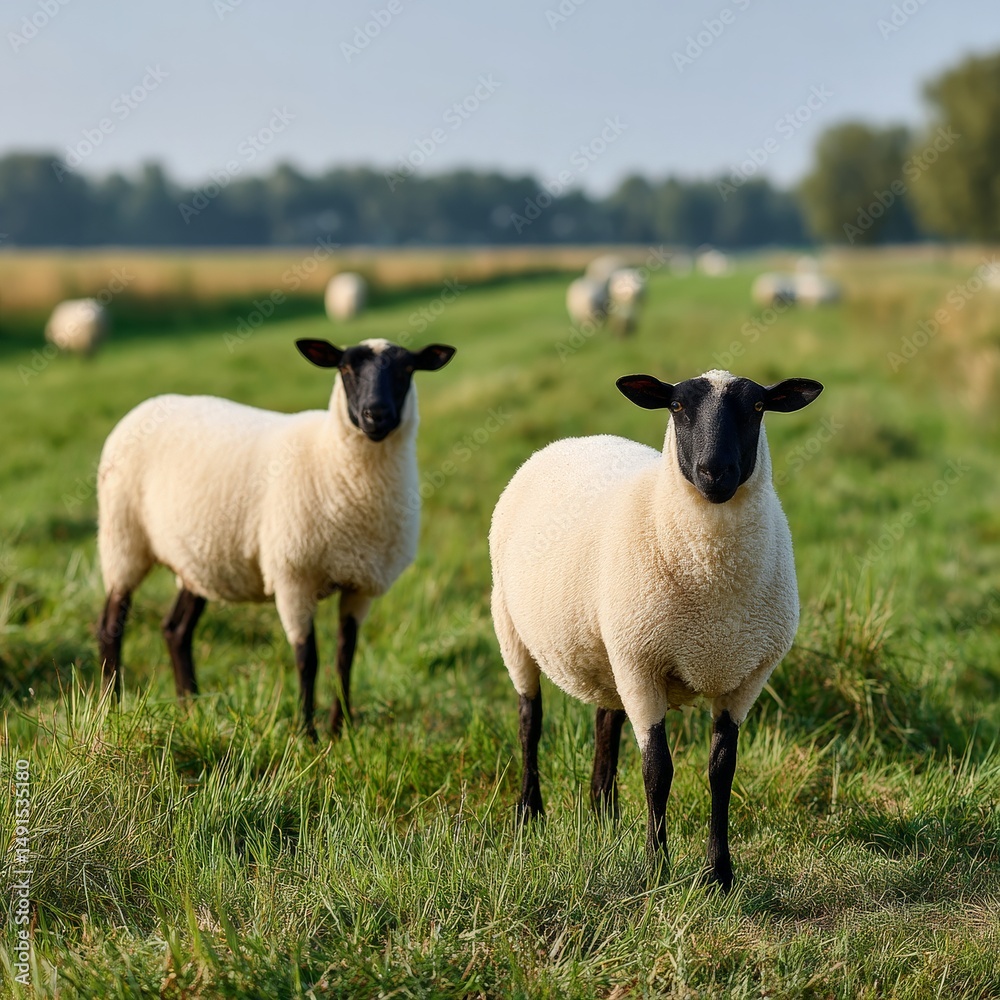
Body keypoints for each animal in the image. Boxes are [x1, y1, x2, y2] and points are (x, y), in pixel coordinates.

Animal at [96, 337, 456, 738]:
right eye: (345, 369)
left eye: (406, 369)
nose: (375, 415)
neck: (333, 461)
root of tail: (147, 405)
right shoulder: (293, 578)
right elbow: (308, 659)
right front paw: (307, 735)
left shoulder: (360, 585)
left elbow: (345, 657)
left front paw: (340, 731)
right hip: (123, 540)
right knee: (110, 626)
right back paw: (112, 708)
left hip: (198, 560)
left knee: (176, 630)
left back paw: (191, 710)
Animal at [489, 368, 823, 889]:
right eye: (678, 406)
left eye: (757, 408)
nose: (714, 472)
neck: (712, 578)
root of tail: (576, 439)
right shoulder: (643, 665)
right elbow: (657, 770)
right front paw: (657, 868)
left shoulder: (745, 677)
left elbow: (721, 769)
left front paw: (719, 874)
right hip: (512, 625)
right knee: (530, 719)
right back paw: (529, 812)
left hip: (611, 650)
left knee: (606, 719)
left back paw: (604, 814)